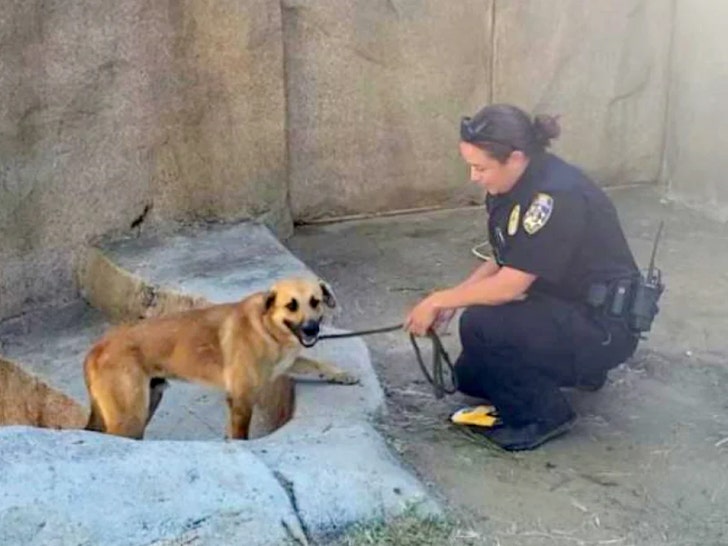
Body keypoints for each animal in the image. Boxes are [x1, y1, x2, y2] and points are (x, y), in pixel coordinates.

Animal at [82, 276, 358, 438]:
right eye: (291, 305)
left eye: (316, 302)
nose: (312, 330)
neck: (267, 327)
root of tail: (97, 347)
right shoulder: (241, 399)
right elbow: (240, 436)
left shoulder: (286, 362)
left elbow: (317, 363)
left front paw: (342, 374)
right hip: (129, 418)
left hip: (149, 402)